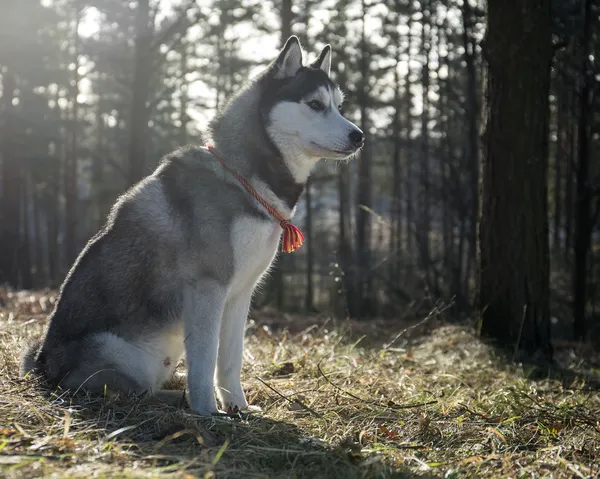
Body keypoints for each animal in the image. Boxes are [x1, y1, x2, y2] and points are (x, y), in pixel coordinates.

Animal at [18, 36, 364, 416]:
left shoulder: (239, 294)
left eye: (339, 106)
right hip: (119, 354)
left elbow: (230, 359)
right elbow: (206, 358)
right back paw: (178, 400)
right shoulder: (208, 288)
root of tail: (43, 365)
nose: (359, 136)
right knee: (130, 390)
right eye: (315, 105)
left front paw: (238, 407)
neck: (244, 179)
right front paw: (209, 411)